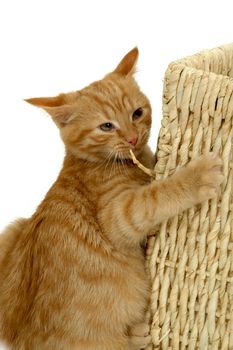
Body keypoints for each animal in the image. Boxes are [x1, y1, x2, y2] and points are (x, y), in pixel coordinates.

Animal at [0, 47, 224, 348]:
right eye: (106, 126)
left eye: (137, 113)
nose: (132, 139)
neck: (95, 163)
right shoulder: (117, 214)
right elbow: (156, 195)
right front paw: (197, 176)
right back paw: (137, 334)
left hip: (14, 228)